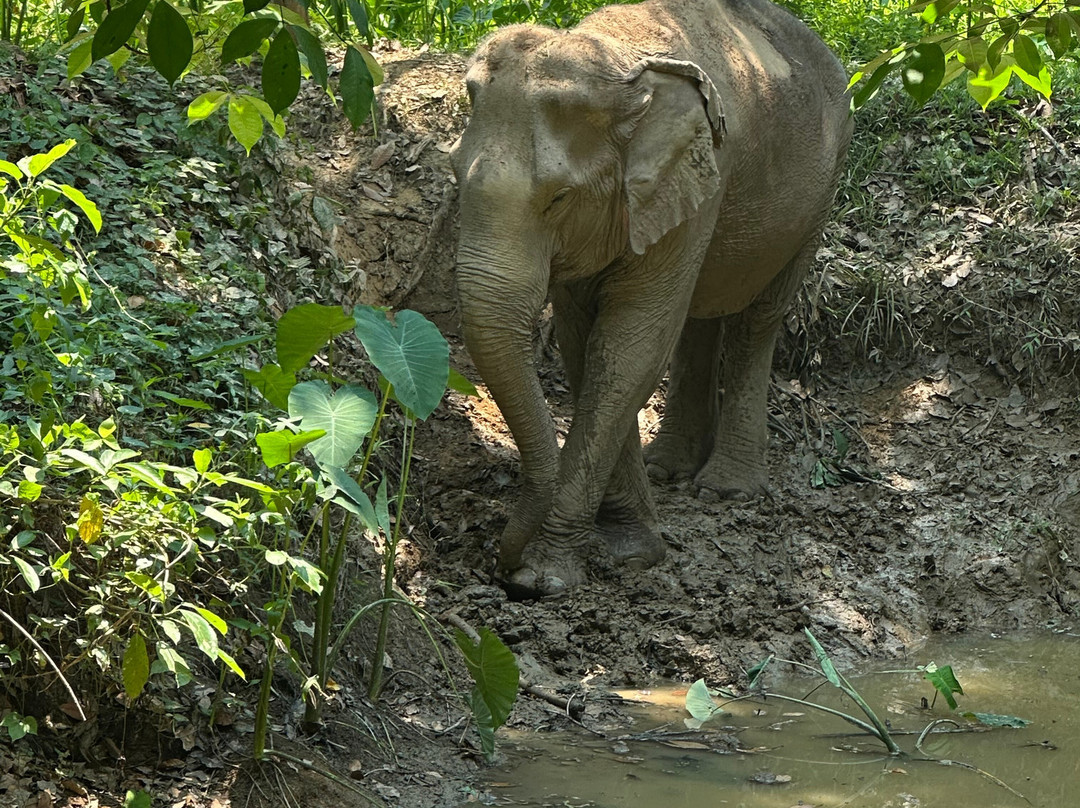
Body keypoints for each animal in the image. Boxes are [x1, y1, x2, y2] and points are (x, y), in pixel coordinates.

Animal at [450, 0, 853, 597]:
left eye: (559, 199)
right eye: (454, 176)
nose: (505, 570)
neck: (617, 59)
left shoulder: (702, 169)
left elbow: (628, 349)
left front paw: (553, 576)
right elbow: (584, 345)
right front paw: (628, 547)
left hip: (821, 191)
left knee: (758, 318)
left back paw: (724, 489)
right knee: (700, 315)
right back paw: (668, 469)